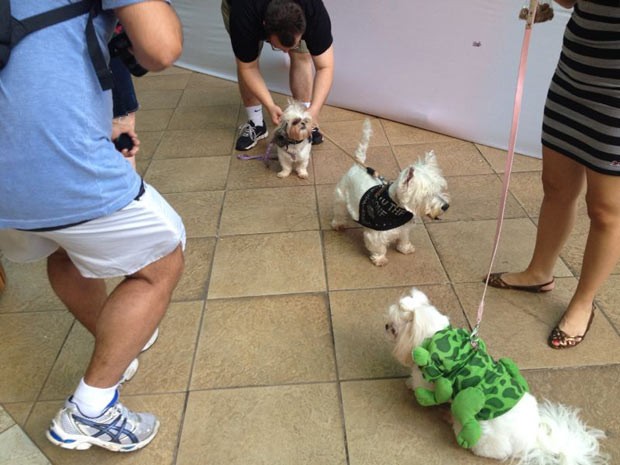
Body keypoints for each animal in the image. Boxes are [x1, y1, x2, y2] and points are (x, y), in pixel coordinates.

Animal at [332, 118, 448, 266]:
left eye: (440, 189)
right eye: (427, 194)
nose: (446, 206)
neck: (396, 208)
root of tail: (358, 165)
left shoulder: (404, 228)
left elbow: (404, 238)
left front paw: (405, 249)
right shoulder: (376, 234)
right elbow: (379, 247)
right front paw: (380, 259)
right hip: (341, 196)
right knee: (339, 211)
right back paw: (338, 224)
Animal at [386, 286, 608, 464]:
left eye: (393, 326)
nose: (386, 326)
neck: (437, 336)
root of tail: (532, 438)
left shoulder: (429, 375)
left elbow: (421, 384)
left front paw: (410, 385)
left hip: (481, 432)